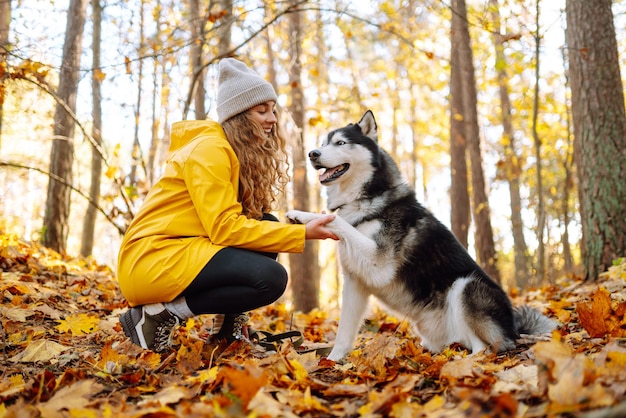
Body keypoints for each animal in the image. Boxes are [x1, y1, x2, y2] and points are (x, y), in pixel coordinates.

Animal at [286, 111, 552, 362]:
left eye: (340, 143)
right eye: (323, 143)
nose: (312, 153)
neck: (366, 197)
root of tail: (514, 328)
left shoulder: (378, 264)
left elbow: (338, 220)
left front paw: (303, 215)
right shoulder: (355, 280)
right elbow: (344, 331)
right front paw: (332, 360)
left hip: (465, 286)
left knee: (485, 348)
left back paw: (461, 363)